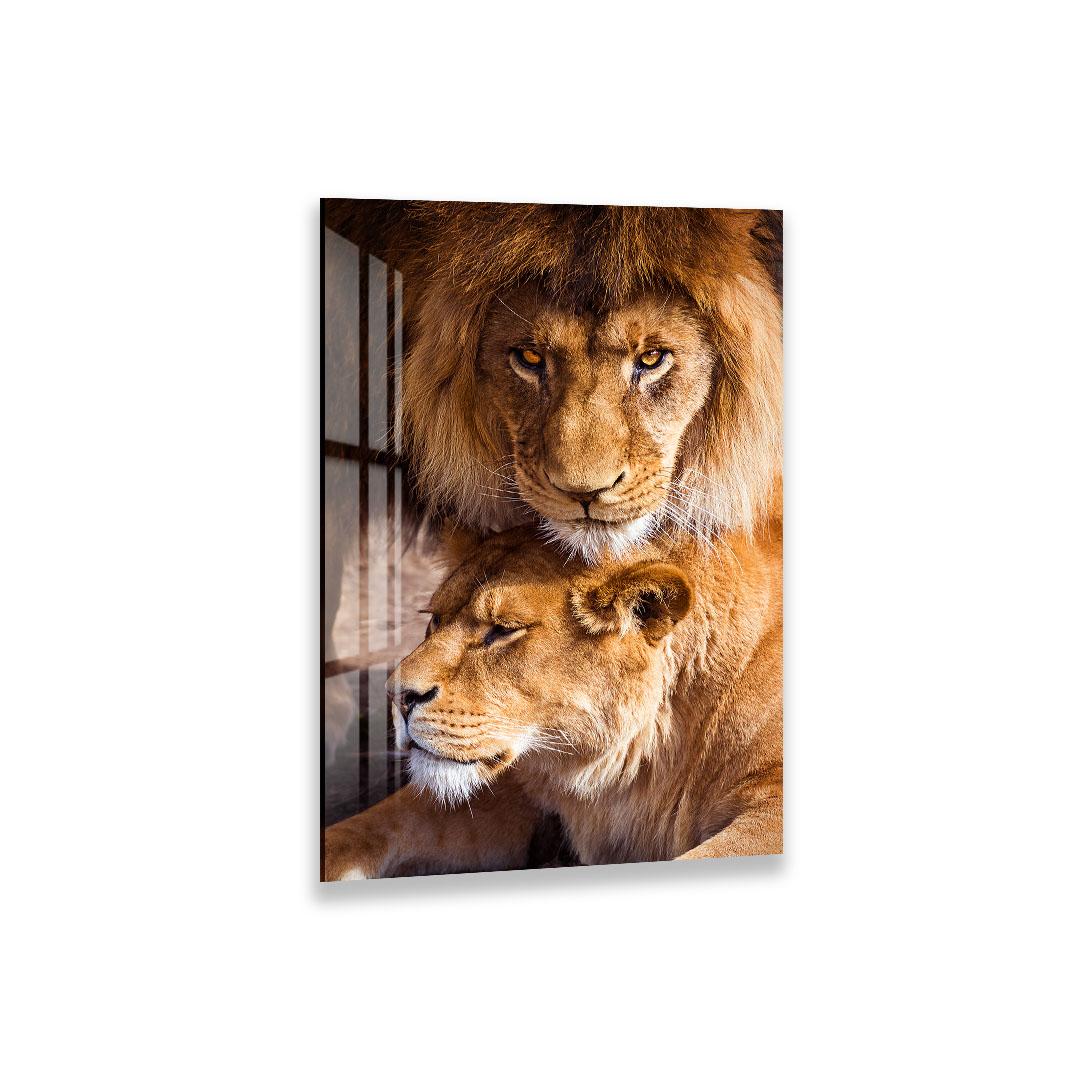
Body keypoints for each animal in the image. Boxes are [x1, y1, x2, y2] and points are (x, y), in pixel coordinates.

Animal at [322, 516, 782, 879]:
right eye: (435, 619)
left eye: (503, 630)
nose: (396, 694)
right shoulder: (514, 785)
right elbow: (360, 832)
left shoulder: (770, 809)